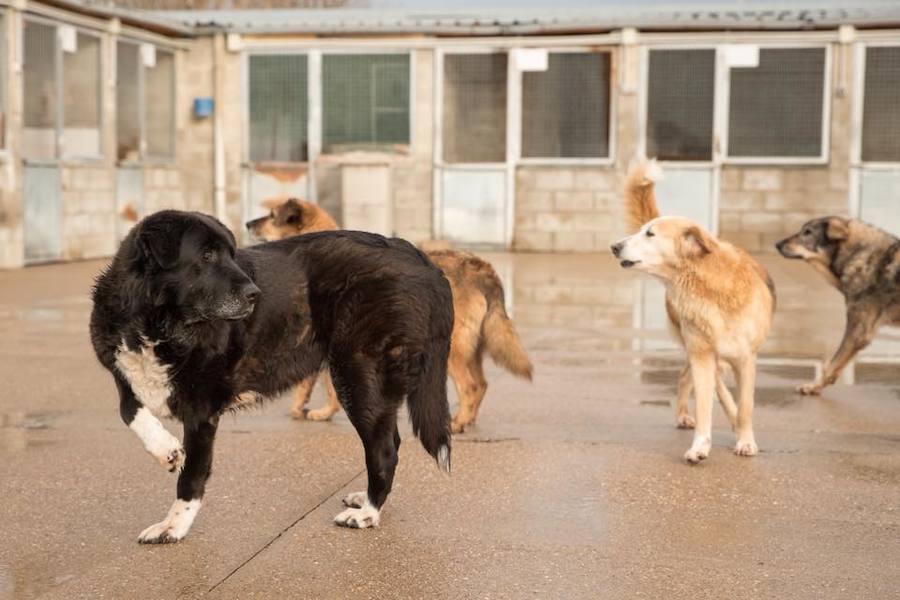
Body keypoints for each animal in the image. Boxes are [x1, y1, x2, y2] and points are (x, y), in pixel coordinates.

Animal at [91, 211, 454, 544]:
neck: (156, 325)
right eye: (207, 256)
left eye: (231, 254)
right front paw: (166, 449)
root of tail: (417, 256)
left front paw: (173, 526)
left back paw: (367, 513)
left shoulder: (202, 411)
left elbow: (191, 476)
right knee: (391, 440)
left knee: (385, 450)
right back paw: (366, 500)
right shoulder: (124, 377)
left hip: (357, 374)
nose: (255, 294)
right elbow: (129, 412)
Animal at [246, 199, 532, 434]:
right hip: (471, 348)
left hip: (453, 349)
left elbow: (318, 385)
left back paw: (457, 423)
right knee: (482, 384)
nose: (247, 223)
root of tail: (482, 268)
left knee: (470, 386)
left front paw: (313, 411)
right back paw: (468, 419)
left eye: (271, 216)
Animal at [616, 161, 776, 464]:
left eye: (650, 234)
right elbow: (706, 405)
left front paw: (745, 441)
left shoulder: (746, 359)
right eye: (642, 231)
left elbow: (746, 405)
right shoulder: (702, 354)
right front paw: (700, 446)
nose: (614, 246)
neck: (708, 288)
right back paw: (686, 416)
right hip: (697, 349)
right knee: (693, 381)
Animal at [772, 218, 900, 396]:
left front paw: (814, 387)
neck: (859, 256)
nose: (777, 244)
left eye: (808, 232)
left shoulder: (857, 331)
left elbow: (831, 364)